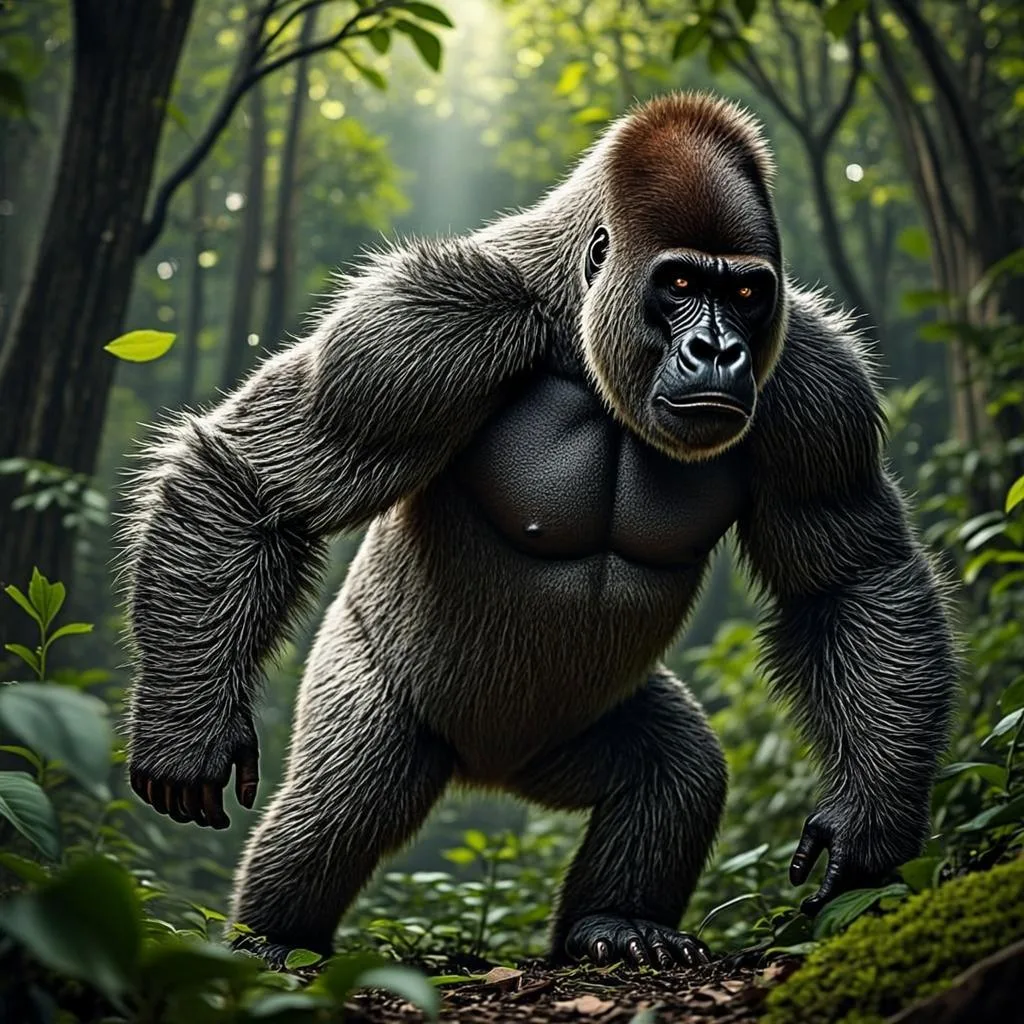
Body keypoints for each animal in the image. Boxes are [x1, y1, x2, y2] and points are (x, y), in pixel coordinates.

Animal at [122, 92, 957, 970]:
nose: (718, 349)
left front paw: (870, 822)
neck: (573, 312)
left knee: (678, 769)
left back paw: (617, 921)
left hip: (559, 744)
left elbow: (850, 578)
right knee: (339, 801)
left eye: (746, 296)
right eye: (681, 282)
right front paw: (185, 731)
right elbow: (256, 484)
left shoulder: (815, 378)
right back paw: (275, 940)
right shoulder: (422, 322)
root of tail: (487, 775)